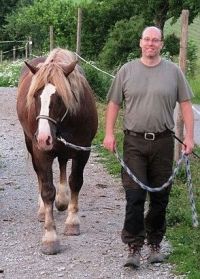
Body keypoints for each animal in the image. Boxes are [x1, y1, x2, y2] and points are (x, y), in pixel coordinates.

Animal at [16, 48, 98, 256]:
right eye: (35, 95)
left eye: (60, 97)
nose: (43, 138)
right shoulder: (41, 154)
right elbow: (47, 190)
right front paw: (50, 237)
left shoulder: (82, 151)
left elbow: (75, 182)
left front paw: (72, 222)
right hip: (32, 145)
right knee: (41, 175)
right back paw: (43, 209)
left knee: (62, 164)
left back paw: (62, 200)